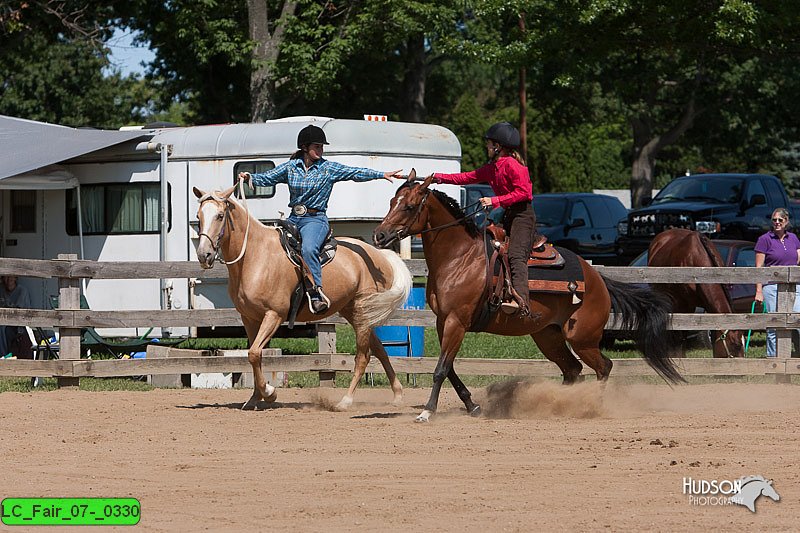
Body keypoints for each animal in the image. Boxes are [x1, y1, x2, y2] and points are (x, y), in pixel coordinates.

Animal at [191, 181, 410, 410]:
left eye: (220, 216)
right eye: (199, 216)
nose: (204, 255)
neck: (254, 255)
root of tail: (381, 255)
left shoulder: (274, 315)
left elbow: (253, 353)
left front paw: (269, 393)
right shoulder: (249, 318)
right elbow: (255, 355)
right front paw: (255, 398)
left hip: (362, 311)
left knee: (363, 356)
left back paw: (346, 400)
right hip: (353, 311)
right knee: (380, 349)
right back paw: (397, 395)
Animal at [374, 172, 680, 422]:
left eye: (409, 206)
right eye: (390, 201)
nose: (379, 235)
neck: (459, 257)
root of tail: (598, 279)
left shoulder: (456, 322)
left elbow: (440, 369)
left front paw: (427, 411)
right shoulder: (443, 322)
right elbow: (448, 368)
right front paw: (473, 406)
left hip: (582, 338)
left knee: (604, 366)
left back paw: (591, 406)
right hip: (548, 336)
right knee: (572, 369)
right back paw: (557, 404)